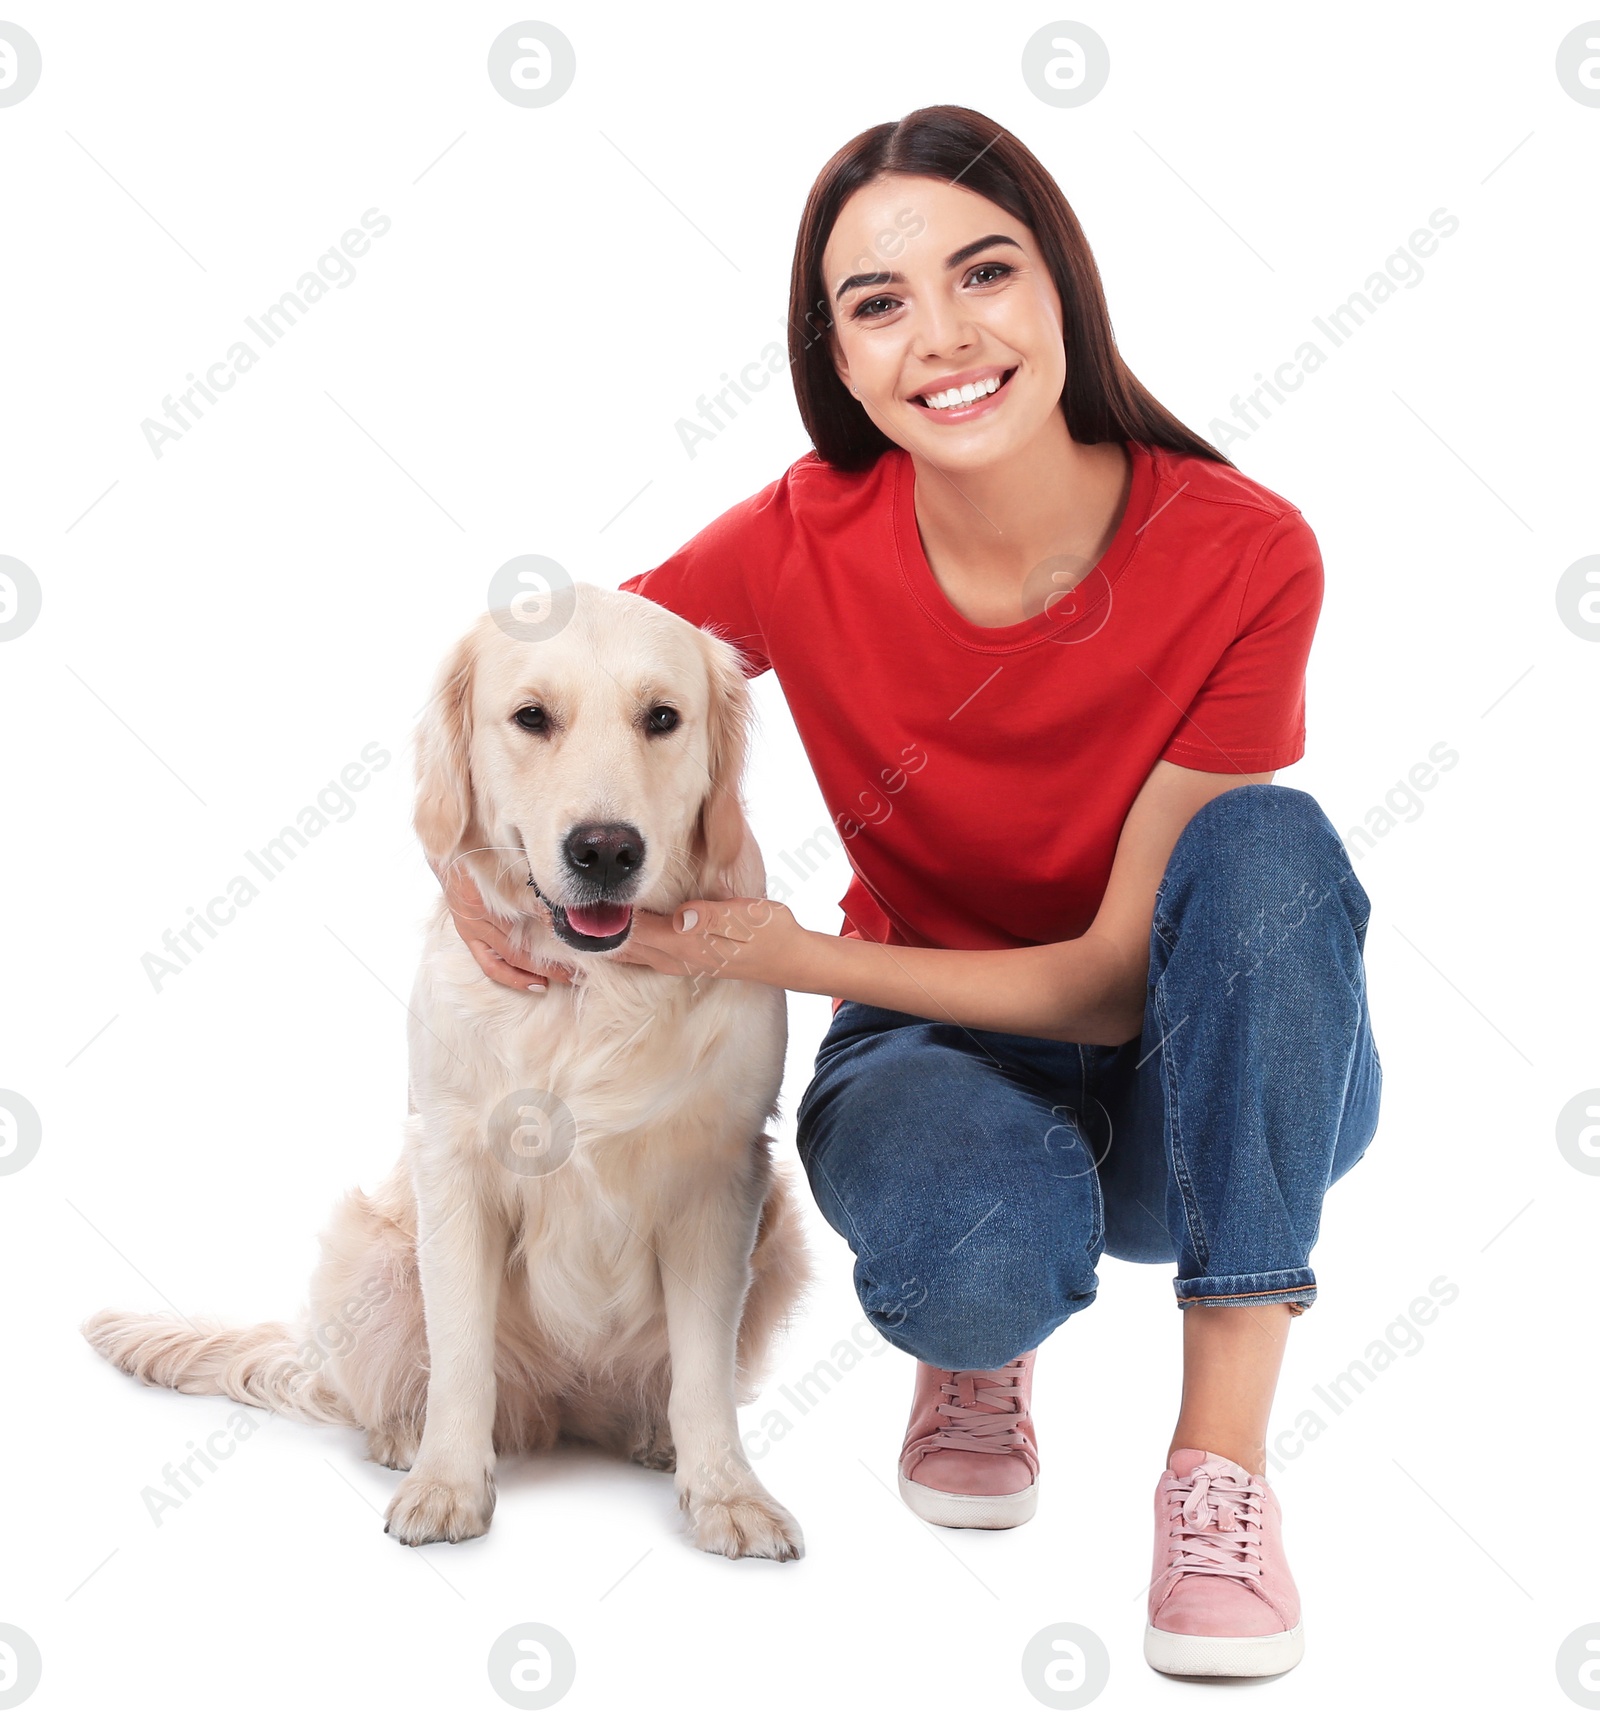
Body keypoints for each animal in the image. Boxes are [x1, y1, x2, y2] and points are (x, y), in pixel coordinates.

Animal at [84, 588, 813, 1565]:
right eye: (532, 717)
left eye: (663, 718)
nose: (606, 851)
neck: (590, 990)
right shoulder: (454, 1164)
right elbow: (460, 1351)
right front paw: (447, 1485)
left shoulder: (721, 1177)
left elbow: (703, 1371)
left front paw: (728, 1494)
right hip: (370, 1248)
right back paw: (403, 1433)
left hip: (781, 1227)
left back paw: (652, 1436)